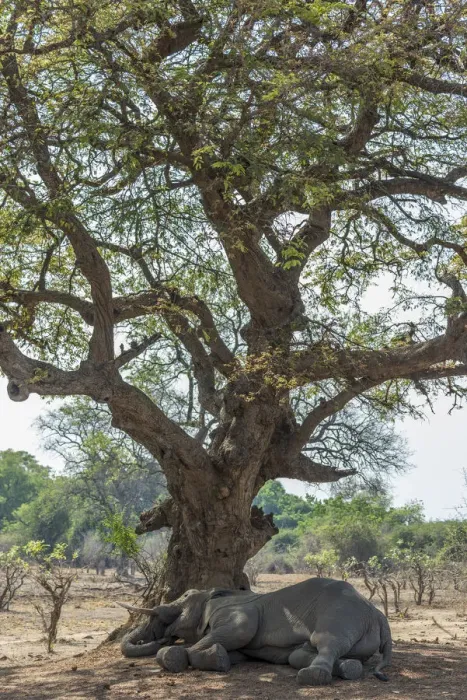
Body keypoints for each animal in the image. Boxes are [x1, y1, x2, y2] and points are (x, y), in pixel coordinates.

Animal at [120, 577, 392, 686]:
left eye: (185, 596)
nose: (162, 636)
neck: (214, 593)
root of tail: (379, 615)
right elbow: (238, 650)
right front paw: (220, 658)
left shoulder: (236, 613)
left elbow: (241, 631)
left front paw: (173, 655)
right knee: (300, 654)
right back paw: (349, 668)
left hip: (342, 614)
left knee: (327, 642)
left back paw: (313, 677)